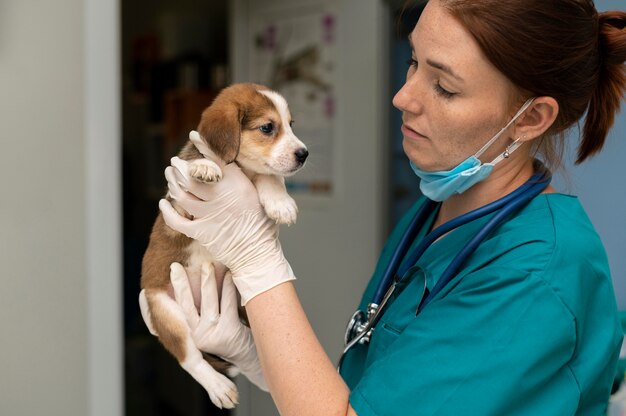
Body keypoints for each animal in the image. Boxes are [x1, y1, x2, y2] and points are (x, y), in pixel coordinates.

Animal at [140, 83, 308, 408]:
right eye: (268, 127)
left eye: (291, 125)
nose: (304, 154)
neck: (240, 169)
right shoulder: (179, 210)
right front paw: (205, 165)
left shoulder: (259, 176)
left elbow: (269, 176)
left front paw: (279, 202)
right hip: (164, 310)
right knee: (190, 358)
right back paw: (218, 386)